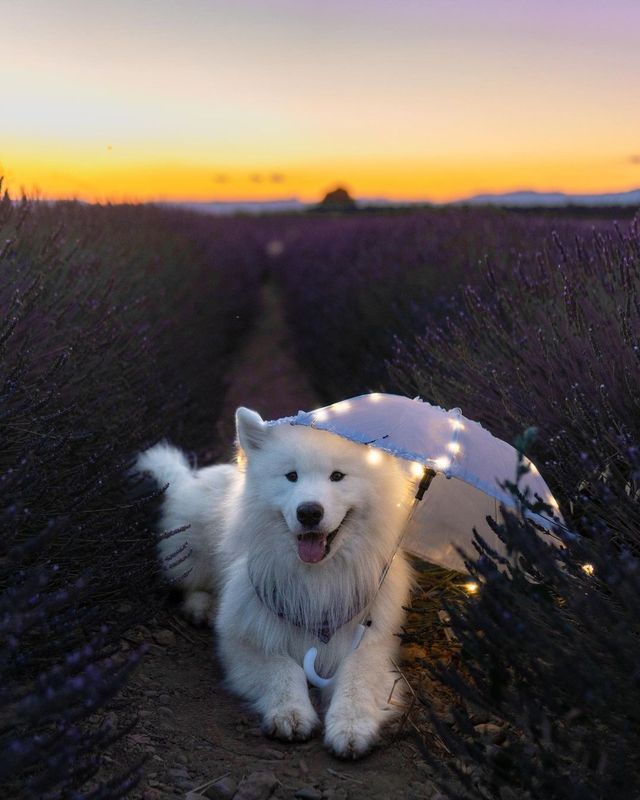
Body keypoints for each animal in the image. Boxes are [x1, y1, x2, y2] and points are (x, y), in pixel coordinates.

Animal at [137, 410, 412, 752]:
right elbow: (283, 669)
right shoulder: (247, 640)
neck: (317, 580)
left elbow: (355, 678)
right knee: (190, 585)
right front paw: (290, 713)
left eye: (337, 476)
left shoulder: (371, 644)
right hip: (191, 551)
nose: (309, 512)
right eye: (291, 476)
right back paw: (202, 607)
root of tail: (189, 477)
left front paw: (351, 726)